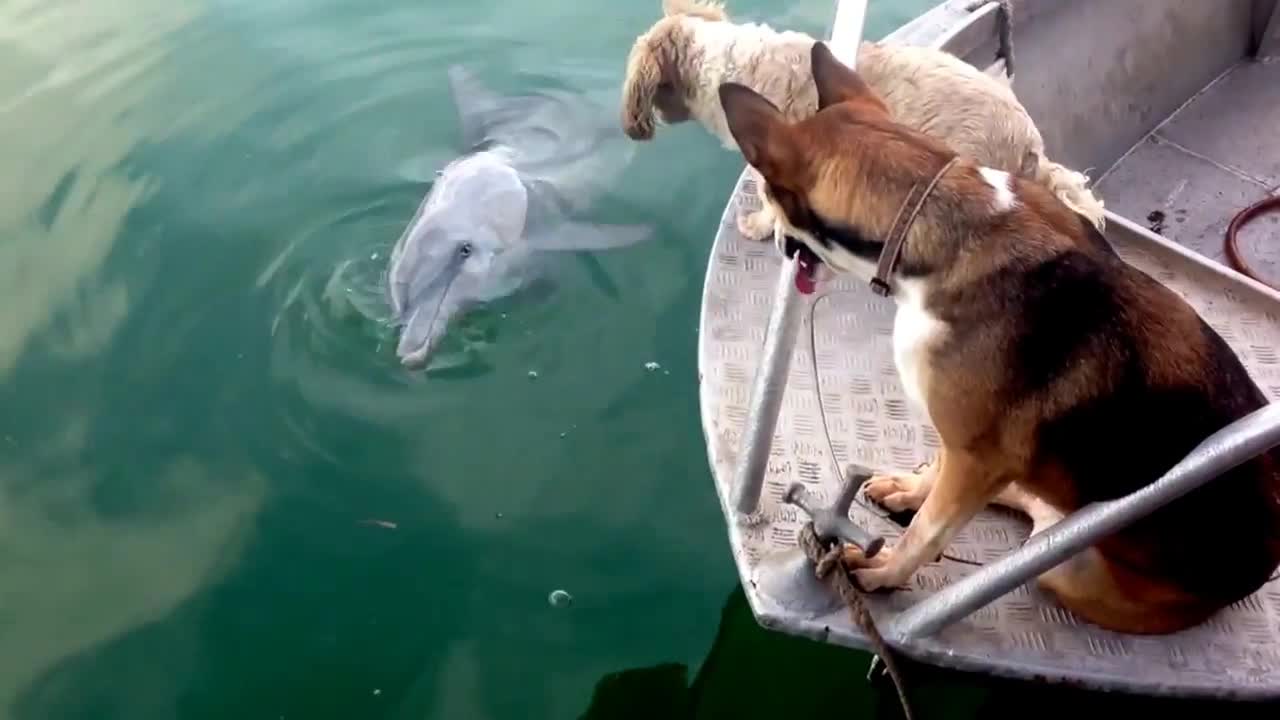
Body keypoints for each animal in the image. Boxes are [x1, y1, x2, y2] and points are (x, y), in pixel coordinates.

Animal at [721, 41, 1280, 630]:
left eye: (773, 200)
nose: (775, 242)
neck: (934, 222)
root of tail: (1256, 575)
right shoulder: (964, 444)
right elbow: (939, 482)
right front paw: (914, 491)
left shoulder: (975, 452)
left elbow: (928, 532)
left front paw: (887, 574)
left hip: (1064, 567)